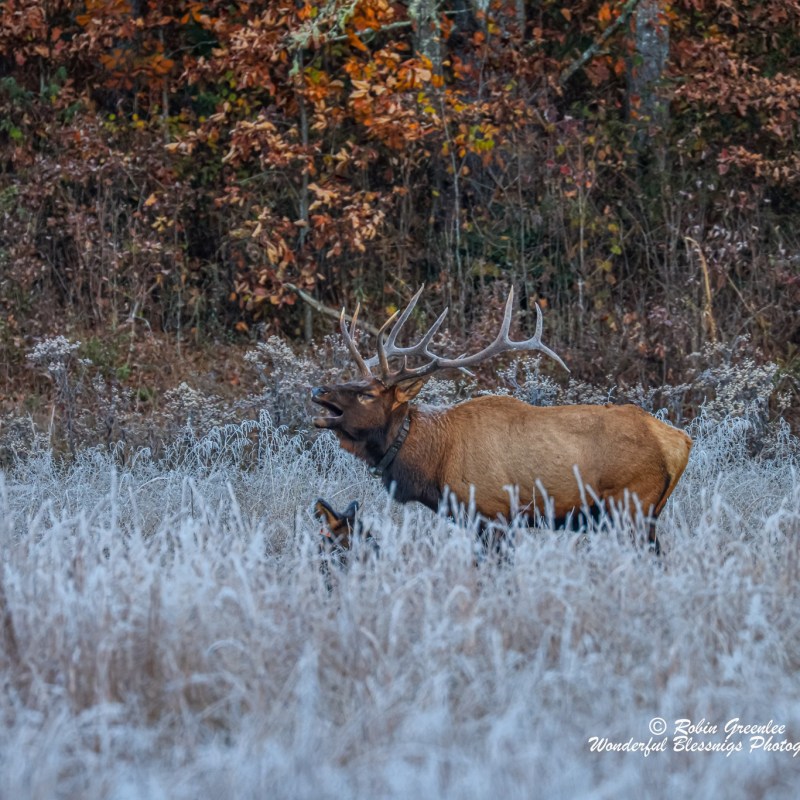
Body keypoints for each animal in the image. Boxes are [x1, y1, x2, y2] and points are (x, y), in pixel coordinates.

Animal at [311, 286, 692, 555]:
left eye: (367, 394)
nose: (318, 389)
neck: (434, 463)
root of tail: (680, 442)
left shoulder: (493, 513)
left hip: (632, 504)